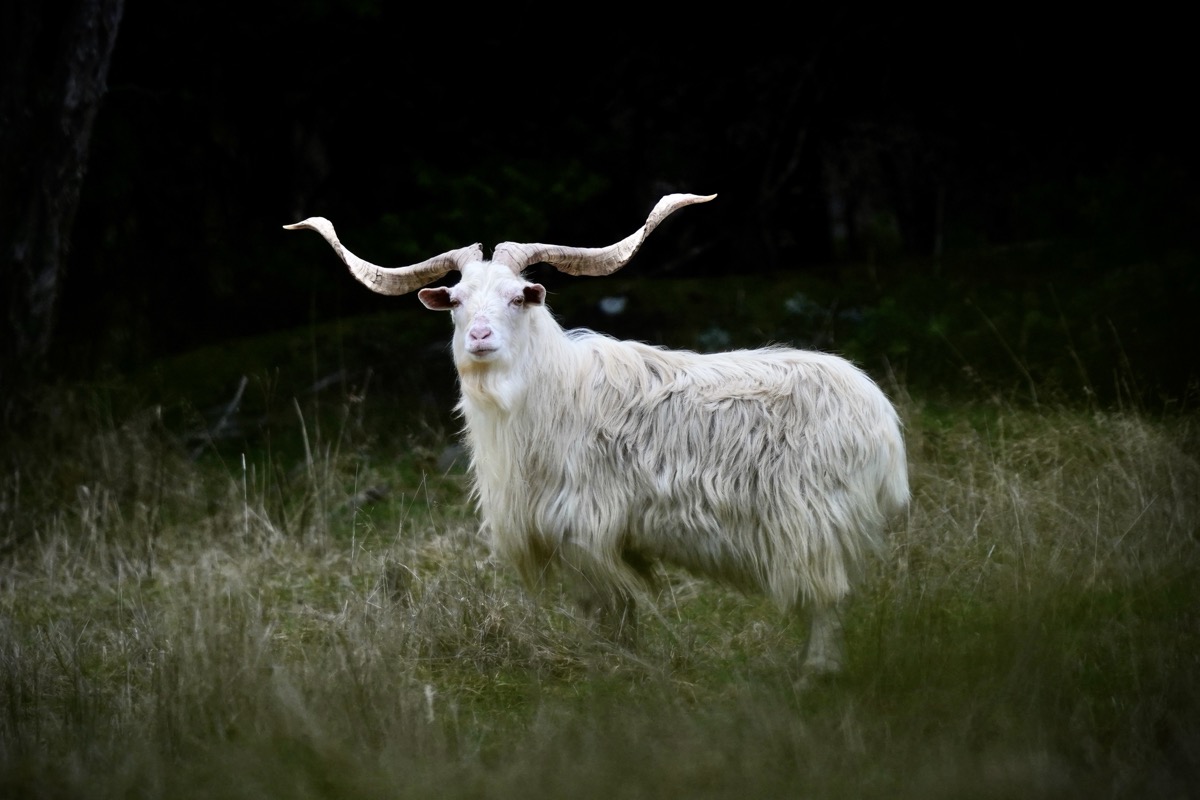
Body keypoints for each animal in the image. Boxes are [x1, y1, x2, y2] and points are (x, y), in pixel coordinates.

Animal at [285, 194, 909, 674]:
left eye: (519, 295)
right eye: (456, 299)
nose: (480, 337)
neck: (549, 395)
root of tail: (883, 426)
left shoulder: (586, 529)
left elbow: (609, 611)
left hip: (810, 522)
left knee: (827, 600)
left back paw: (816, 675)